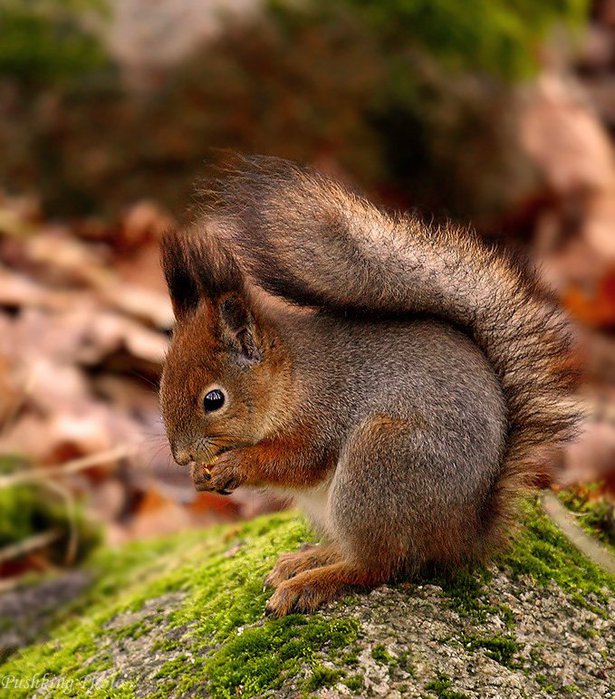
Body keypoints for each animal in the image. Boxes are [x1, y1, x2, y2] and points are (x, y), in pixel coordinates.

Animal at [160, 156, 584, 616]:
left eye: (213, 399)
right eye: (161, 386)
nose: (181, 457)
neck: (293, 379)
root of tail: (464, 535)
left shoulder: (326, 414)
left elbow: (299, 460)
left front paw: (233, 465)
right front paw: (201, 476)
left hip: (380, 465)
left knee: (378, 564)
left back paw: (311, 583)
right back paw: (309, 558)